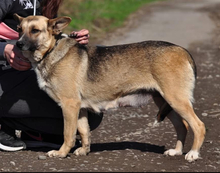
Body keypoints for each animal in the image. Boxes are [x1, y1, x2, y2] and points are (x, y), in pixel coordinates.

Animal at [13, 13, 205, 162]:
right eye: (19, 29)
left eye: (35, 30)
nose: (18, 44)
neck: (51, 51)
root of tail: (182, 51)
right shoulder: (79, 108)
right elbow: (84, 132)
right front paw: (84, 150)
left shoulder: (69, 106)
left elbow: (68, 134)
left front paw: (61, 153)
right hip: (165, 101)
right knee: (183, 126)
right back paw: (177, 151)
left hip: (176, 100)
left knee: (198, 126)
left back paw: (193, 154)